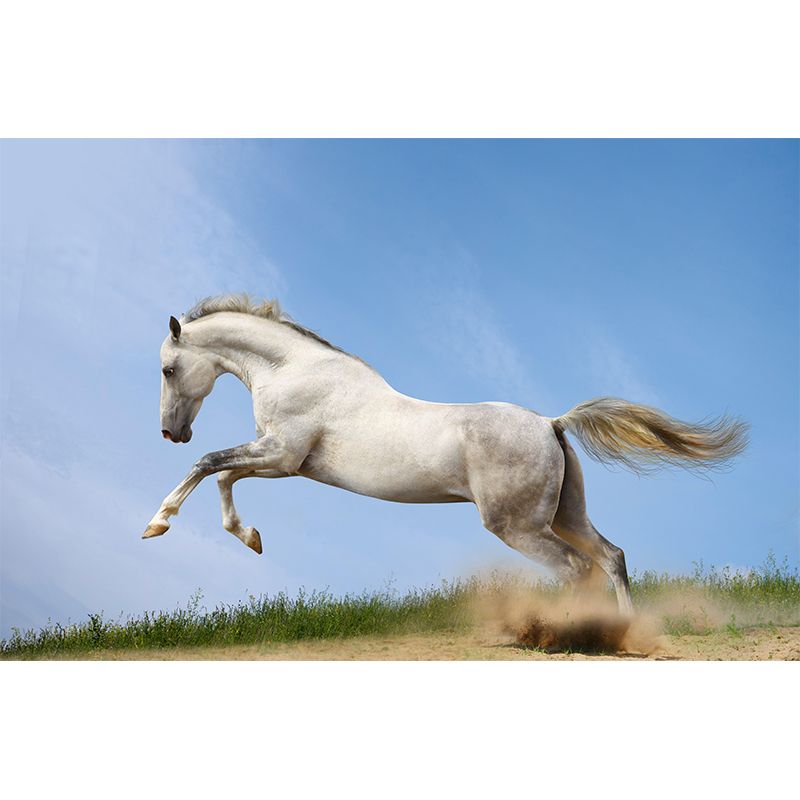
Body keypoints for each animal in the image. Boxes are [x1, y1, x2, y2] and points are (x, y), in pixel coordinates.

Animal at [143, 294, 748, 615]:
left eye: (169, 369)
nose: (172, 432)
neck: (294, 371)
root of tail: (551, 424)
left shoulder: (281, 455)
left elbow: (209, 466)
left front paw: (157, 525)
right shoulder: (283, 463)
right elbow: (224, 477)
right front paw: (251, 538)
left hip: (518, 526)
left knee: (577, 570)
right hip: (564, 515)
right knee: (611, 558)